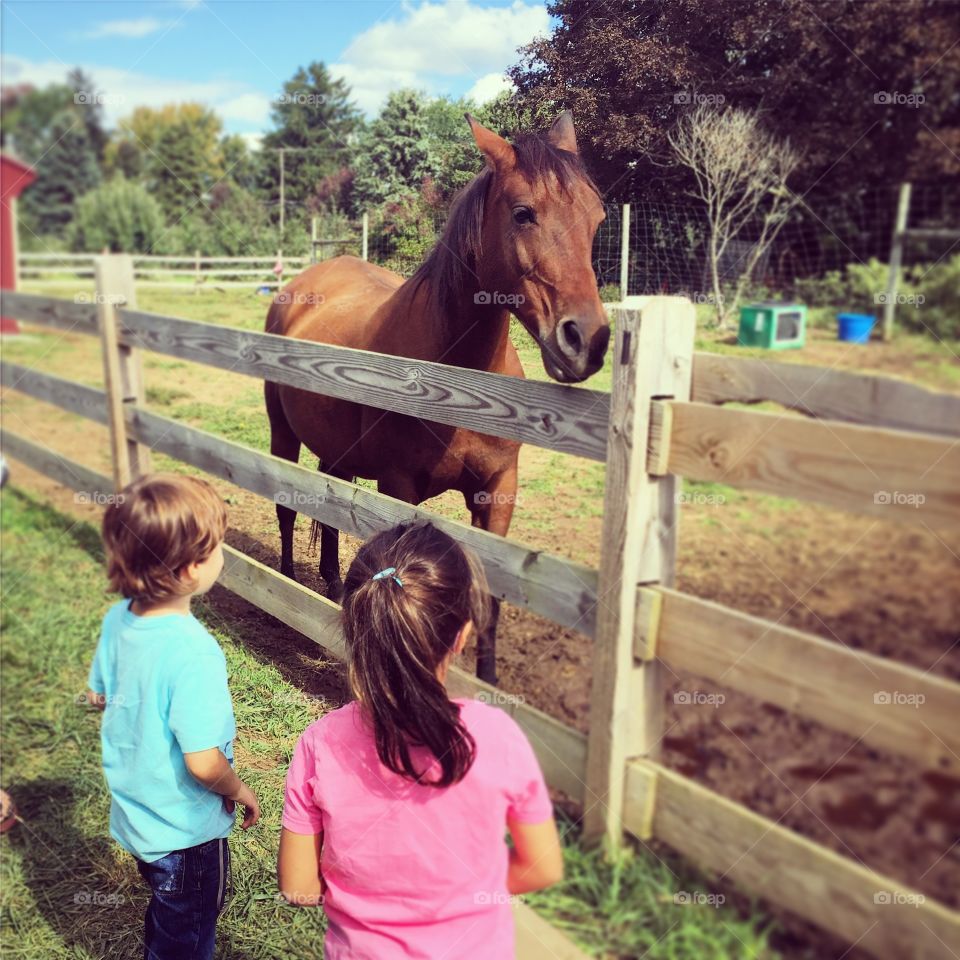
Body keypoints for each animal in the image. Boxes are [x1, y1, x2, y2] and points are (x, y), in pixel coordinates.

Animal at [264, 110, 608, 684]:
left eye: (598, 217)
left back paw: (332, 588)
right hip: (281, 434)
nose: (588, 340)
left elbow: (492, 598)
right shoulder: (400, 487)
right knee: (286, 510)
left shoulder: (498, 492)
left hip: (337, 453)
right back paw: (286, 584)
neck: (461, 389)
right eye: (523, 214)